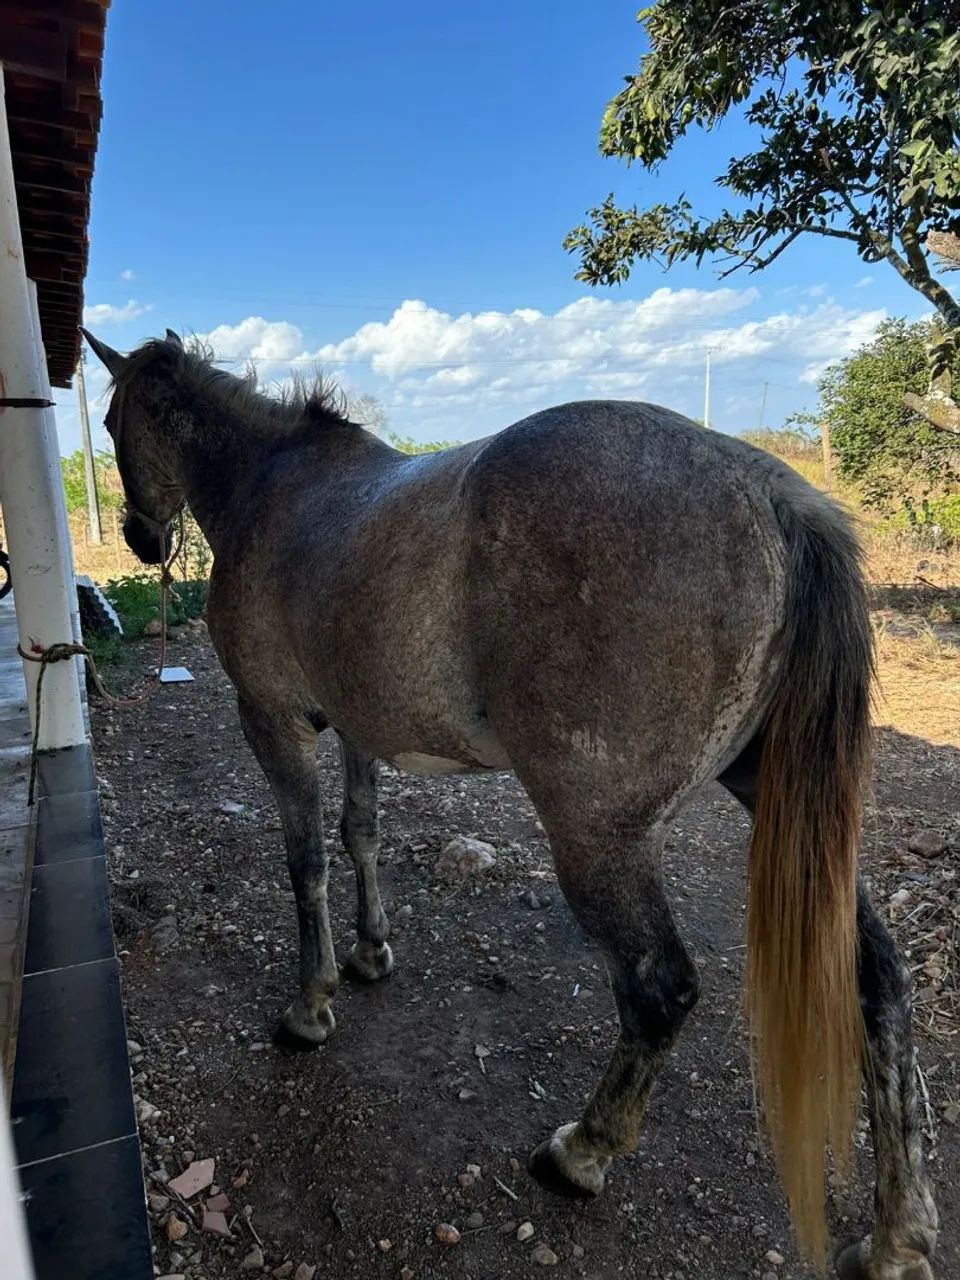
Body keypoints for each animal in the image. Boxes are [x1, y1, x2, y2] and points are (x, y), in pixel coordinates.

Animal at [81, 327, 937, 1279]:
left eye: (113, 424)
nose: (139, 537)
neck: (273, 486)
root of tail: (773, 492)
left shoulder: (274, 722)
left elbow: (305, 863)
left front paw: (311, 1006)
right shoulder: (355, 725)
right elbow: (359, 833)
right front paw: (370, 954)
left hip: (599, 839)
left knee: (660, 990)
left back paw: (583, 1152)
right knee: (877, 981)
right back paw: (898, 1234)